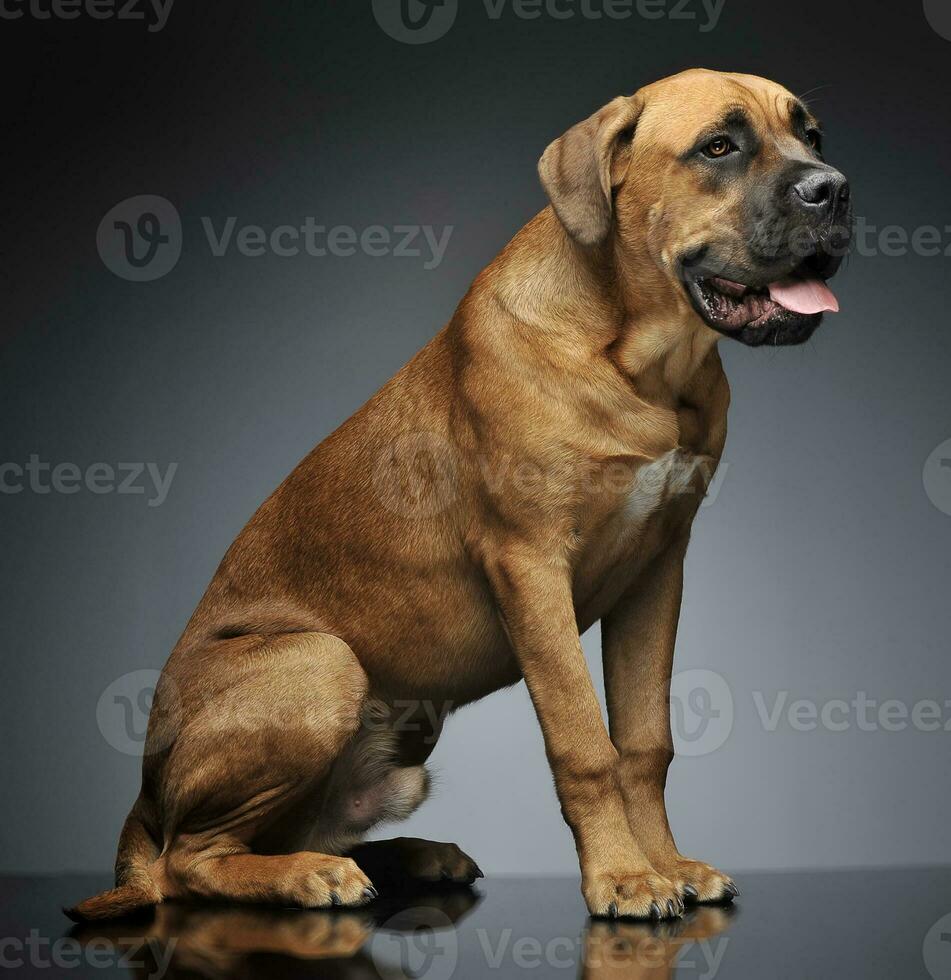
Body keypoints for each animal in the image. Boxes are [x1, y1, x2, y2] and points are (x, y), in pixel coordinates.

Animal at [69, 67, 856, 920]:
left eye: (810, 136)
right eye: (718, 146)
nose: (833, 189)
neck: (636, 358)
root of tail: (140, 803)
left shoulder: (657, 571)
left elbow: (644, 741)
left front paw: (667, 863)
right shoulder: (530, 565)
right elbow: (584, 741)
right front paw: (621, 876)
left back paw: (409, 858)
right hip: (319, 663)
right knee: (190, 862)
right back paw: (310, 877)